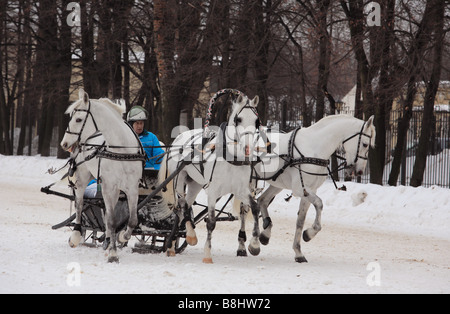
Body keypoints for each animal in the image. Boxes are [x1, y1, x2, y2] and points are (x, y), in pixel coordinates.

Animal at [60, 89, 144, 264]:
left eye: (78, 119)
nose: (64, 143)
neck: (121, 149)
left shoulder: (132, 188)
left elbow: (132, 220)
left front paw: (122, 236)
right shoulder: (108, 187)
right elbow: (111, 221)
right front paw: (113, 253)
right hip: (83, 177)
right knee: (79, 203)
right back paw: (76, 235)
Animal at [160, 92, 262, 262]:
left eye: (256, 121)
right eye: (239, 119)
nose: (248, 148)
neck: (231, 158)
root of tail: (178, 139)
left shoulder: (241, 190)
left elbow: (254, 208)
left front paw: (254, 245)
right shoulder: (213, 192)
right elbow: (211, 222)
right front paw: (207, 254)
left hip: (194, 184)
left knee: (185, 206)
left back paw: (181, 240)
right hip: (179, 181)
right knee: (182, 206)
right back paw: (182, 240)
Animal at [251, 115, 374, 262]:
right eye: (365, 144)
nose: (360, 171)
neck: (314, 148)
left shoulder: (309, 191)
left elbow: (300, 221)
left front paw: (298, 251)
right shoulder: (300, 189)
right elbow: (319, 204)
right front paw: (309, 233)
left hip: (277, 184)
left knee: (262, 201)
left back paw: (265, 234)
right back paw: (253, 244)